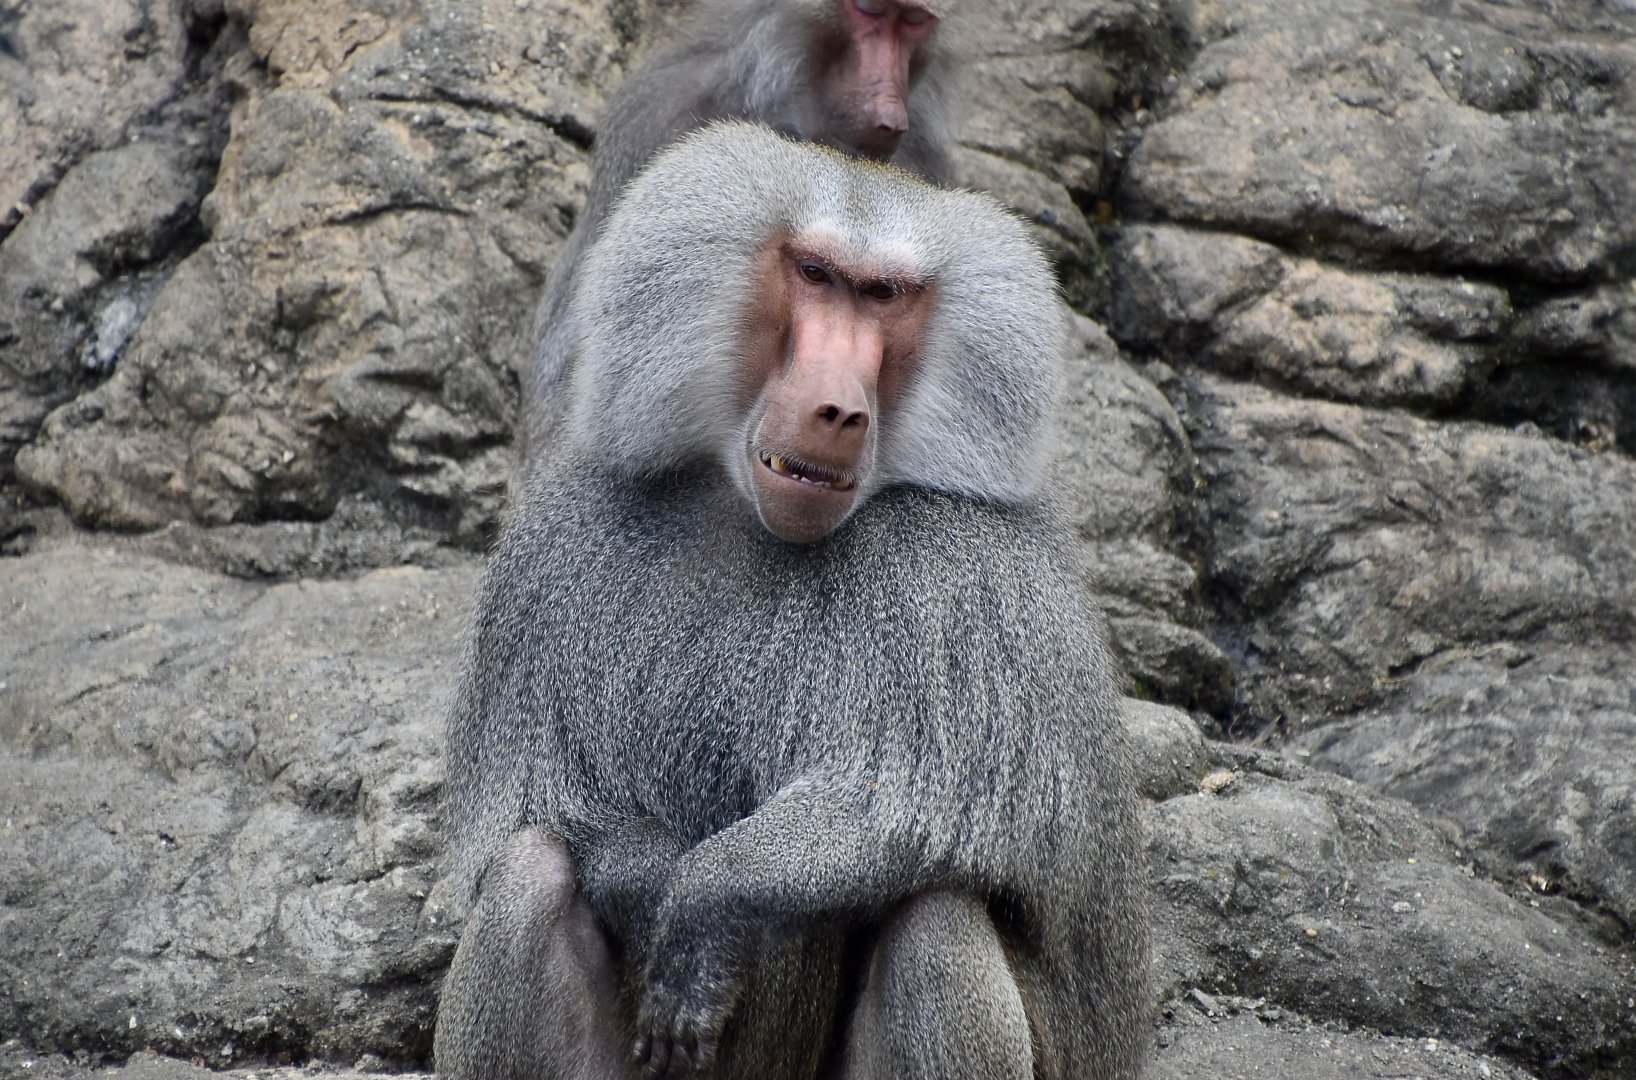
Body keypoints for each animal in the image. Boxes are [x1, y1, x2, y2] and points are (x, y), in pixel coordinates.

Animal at [438, 122, 1149, 1080]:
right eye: (814, 274)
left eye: (883, 296)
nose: (836, 410)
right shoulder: (555, 556)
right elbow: (544, 814)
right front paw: (656, 885)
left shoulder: (972, 588)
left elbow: (908, 815)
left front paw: (704, 901)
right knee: (528, 877)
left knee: (936, 920)